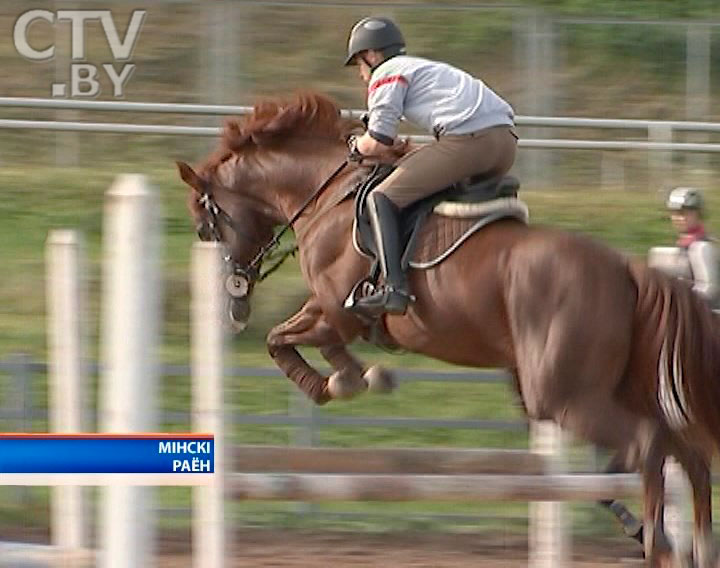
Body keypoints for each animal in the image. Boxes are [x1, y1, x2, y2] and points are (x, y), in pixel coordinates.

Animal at [176, 92, 720, 564]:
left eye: (206, 223)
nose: (233, 301)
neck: (326, 195)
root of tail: (628, 268)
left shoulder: (338, 310)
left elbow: (281, 341)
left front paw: (339, 382)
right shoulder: (334, 314)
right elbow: (303, 342)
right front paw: (360, 376)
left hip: (564, 396)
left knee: (649, 444)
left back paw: (661, 545)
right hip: (612, 387)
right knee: (683, 451)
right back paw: (690, 544)